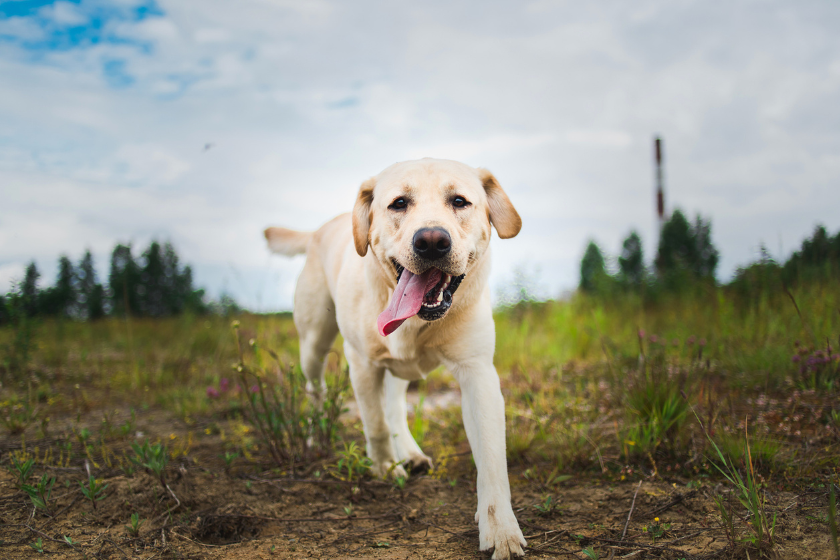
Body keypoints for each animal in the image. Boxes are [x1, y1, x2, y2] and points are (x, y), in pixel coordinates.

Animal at [264, 158, 524, 560]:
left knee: (395, 404)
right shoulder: (362, 363)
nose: (431, 240)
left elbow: (493, 458)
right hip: (313, 343)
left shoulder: (477, 371)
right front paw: (386, 468)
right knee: (315, 389)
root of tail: (320, 229)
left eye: (460, 201)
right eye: (399, 203)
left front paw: (501, 529)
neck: (417, 322)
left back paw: (411, 453)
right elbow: (374, 425)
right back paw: (314, 436)